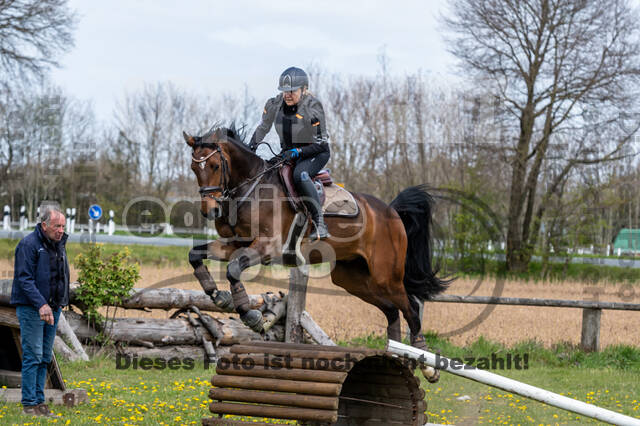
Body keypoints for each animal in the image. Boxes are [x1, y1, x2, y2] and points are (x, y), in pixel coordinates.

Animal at [182, 125, 448, 372]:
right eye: (194, 169)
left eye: (215, 166)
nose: (210, 211)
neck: (252, 189)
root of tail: (391, 211)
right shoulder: (236, 243)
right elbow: (196, 255)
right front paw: (217, 295)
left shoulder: (268, 247)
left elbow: (234, 269)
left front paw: (251, 316)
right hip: (351, 278)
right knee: (392, 311)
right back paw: (393, 358)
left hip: (386, 276)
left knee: (411, 309)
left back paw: (427, 365)